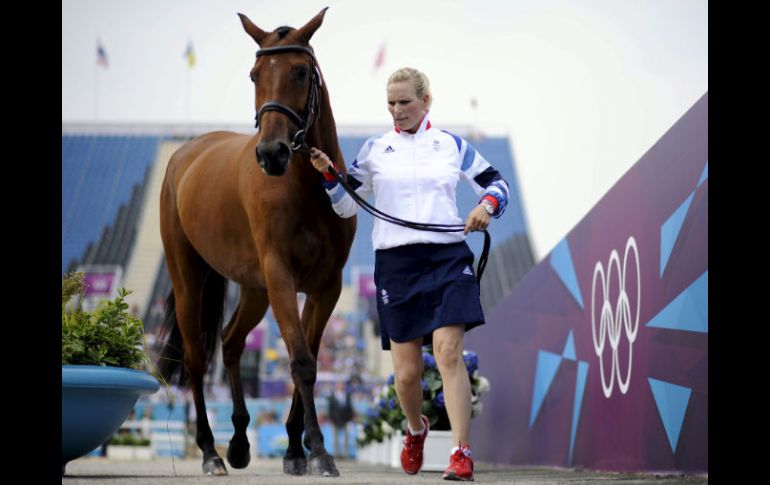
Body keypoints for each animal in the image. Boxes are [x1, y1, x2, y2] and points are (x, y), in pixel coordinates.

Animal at [160, 8, 356, 476]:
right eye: (254, 75)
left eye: (301, 71)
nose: (271, 153)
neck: (307, 189)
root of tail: (185, 155)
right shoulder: (281, 276)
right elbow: (300, 360)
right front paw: (318, 451)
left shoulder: (326, 287)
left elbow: (309, 358)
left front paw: (294, 449)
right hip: (188, 280)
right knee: (197, 357)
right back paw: (211, 451)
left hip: (254, 290)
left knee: (231, 342)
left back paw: (239, 442)